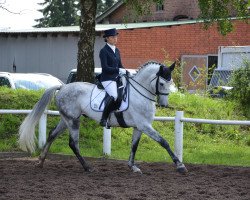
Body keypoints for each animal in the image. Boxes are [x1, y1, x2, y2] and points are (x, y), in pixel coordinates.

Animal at [18, 61, 188, 174]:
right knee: (73, 143)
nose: (164, 104)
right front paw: (180, 166)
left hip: (66, 119)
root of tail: (63, 86)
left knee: (52, 135)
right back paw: (87, 167)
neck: (140, 94)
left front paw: (132, 166)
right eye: (162, 83)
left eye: (171, 82)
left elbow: (134, 146)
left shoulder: (139, 127)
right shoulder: (144, 125)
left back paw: (40, 161)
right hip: (73, 121)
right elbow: (163, 142)